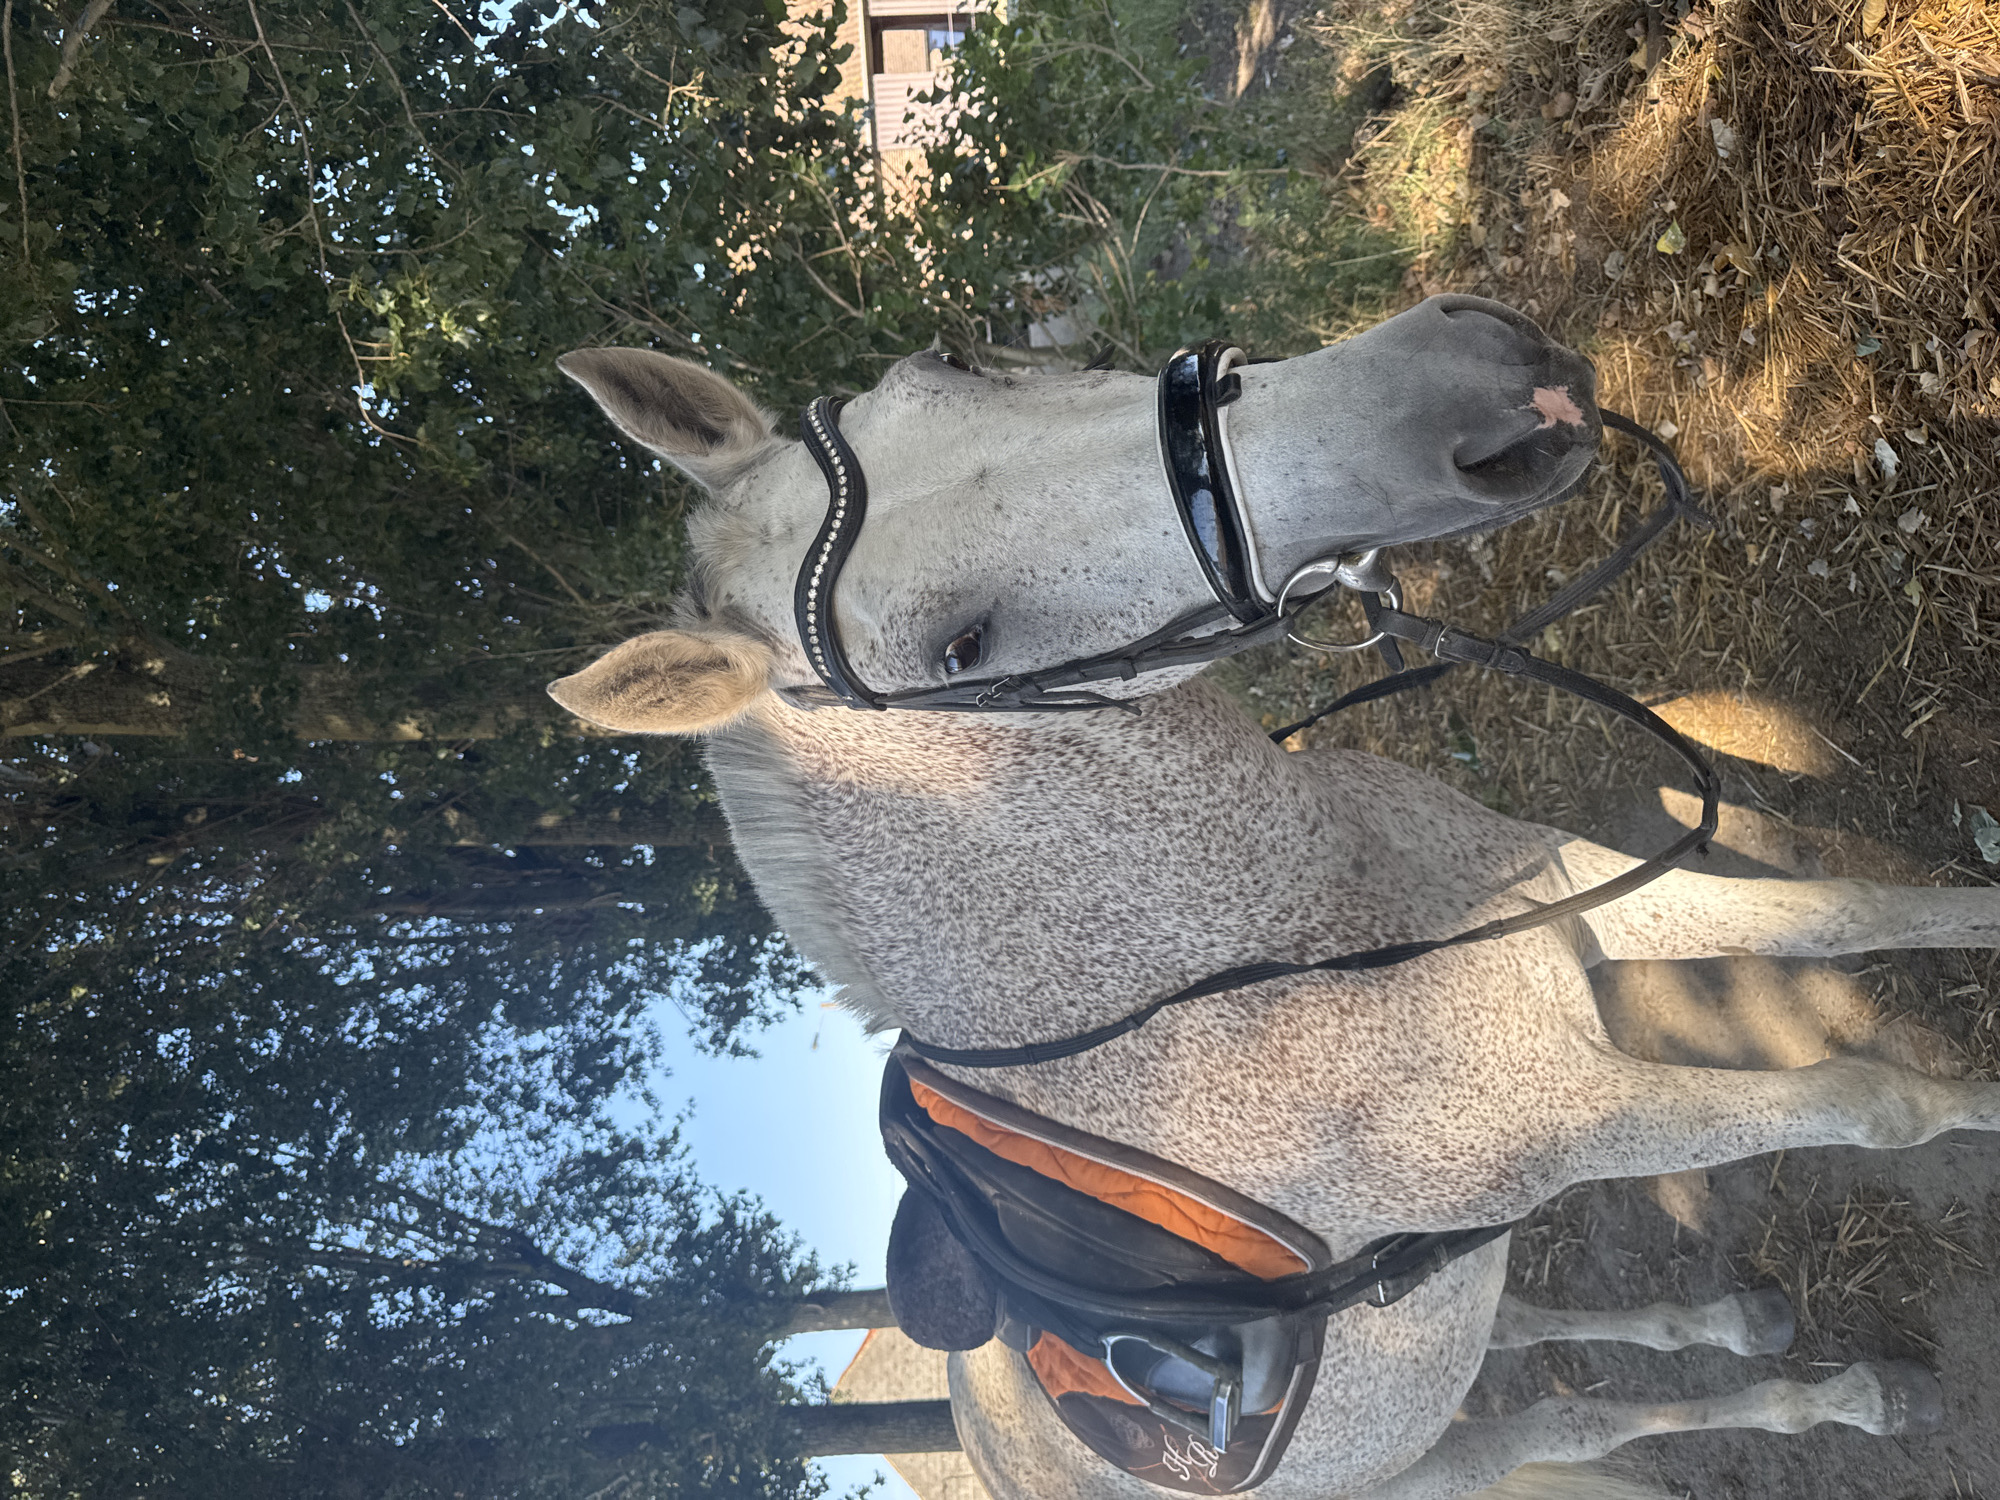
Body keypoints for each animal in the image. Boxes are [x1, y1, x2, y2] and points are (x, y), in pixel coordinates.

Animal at [546, 296, 2000, 1498]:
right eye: (961, 647)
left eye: (950, 359)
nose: (1478, 390)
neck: (1256, 969)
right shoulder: (1580, 1121)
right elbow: (1870, 1100)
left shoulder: (1582, 902)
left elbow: (1856, 910)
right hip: (1432, 1460)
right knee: (1572, 1424)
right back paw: (1845, 1393)